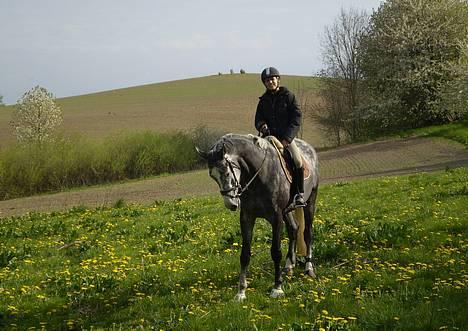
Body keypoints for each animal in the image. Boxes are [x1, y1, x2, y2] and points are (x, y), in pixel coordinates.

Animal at [196, 134, 320, 302]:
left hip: (310, 202)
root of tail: (309, 149)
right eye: (212, 176)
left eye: (226, 173)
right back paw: (288, 266)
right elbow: (244, 254)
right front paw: (241, 292)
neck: (259, 176)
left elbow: (275, 252)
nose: (231, 204)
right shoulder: (247, 218)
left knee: (307, 234)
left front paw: (277, 288)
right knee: (294, 229)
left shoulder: (276, 218)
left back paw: (309, 268)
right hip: (287, 211)